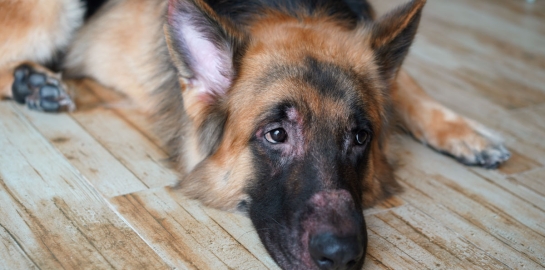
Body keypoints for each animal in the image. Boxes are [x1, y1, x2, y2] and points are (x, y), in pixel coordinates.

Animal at [0, 0, 510, 268]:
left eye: (361, 137)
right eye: (276, 134)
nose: (342, 256)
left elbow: (409, 87)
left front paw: (469, 134)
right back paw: (32, 82)